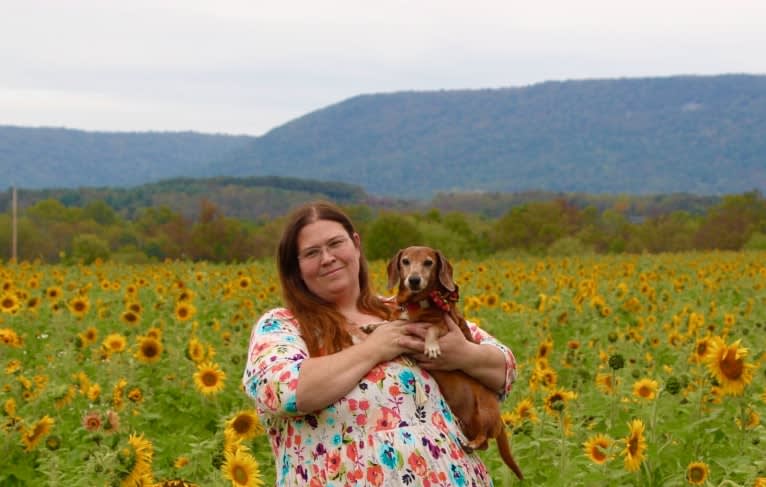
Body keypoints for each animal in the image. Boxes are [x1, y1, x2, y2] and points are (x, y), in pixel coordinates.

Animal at [366, 246, 520, 482]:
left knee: (484, 438)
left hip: (484, 411)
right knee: (484, 443)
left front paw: (432, 347)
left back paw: (471, 443)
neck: (417, 303)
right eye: (405, 261)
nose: (414, 280)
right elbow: (389, 323)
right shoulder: (400, 323)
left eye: (428, 262)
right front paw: (371, 326)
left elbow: (431, 329)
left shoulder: (444, 326)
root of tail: (499, 421)